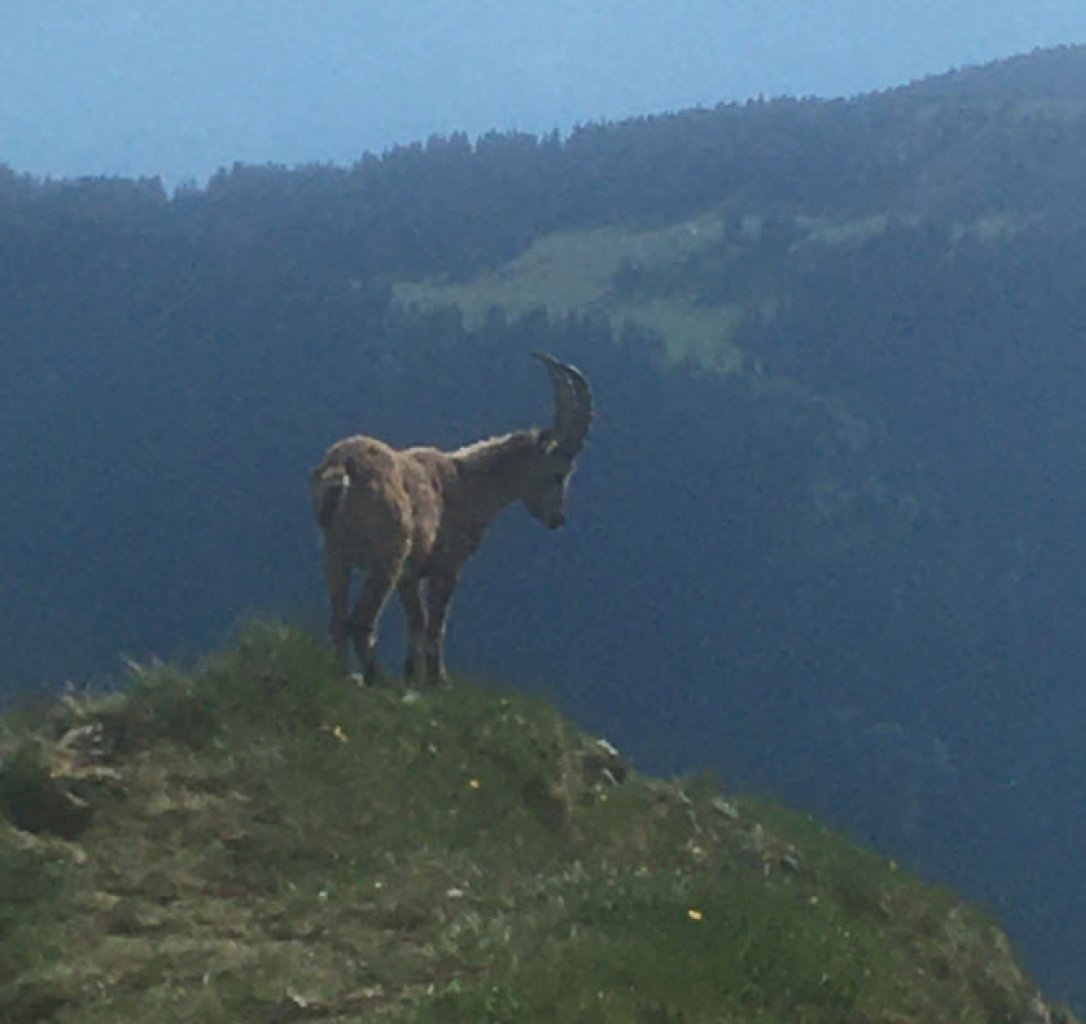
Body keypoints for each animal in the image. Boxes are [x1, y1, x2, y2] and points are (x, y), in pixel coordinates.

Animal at [310, 351, 593, 686]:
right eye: (558, 474)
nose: (557, 519)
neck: (469, 484)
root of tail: (344, 468)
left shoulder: (411, 574)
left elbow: (417, 622)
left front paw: (413, 673)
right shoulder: (447, 567)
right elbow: (436, 625)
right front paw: (438, 680)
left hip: (335, 553)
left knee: (338, 621)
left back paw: (347, 675)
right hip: (387, 555)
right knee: (362, 621)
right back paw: (376, 678)